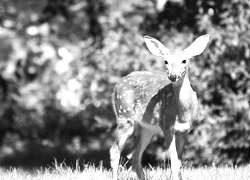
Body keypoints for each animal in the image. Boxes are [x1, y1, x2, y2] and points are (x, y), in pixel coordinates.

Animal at [110, 34, 210, 180]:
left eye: (184, 61)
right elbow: (174, 162)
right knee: (115, 151)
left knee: (134, 154)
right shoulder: (166, 126)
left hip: (147, 127)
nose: (173, 76)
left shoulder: (185, 130)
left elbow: (179, 162)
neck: (183, 113)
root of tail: (115, 87)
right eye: (166, 61)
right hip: (124, 116)